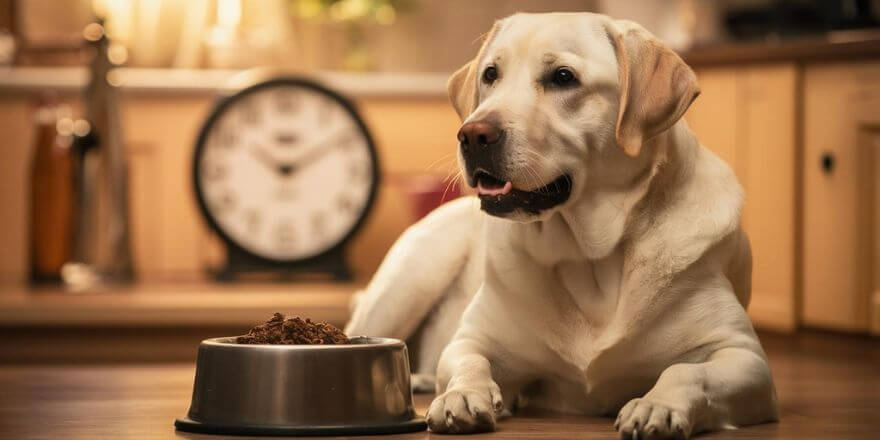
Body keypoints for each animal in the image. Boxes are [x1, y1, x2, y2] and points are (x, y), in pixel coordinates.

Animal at [344, 12, 776, 438]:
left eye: (563, 77)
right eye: (490, 74)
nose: (472, 134)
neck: (590, 258)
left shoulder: (745, 359)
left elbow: (685, 371)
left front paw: (657, 406)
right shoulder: (472, 340)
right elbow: (470, 363)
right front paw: (461, 396)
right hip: (412, 278)